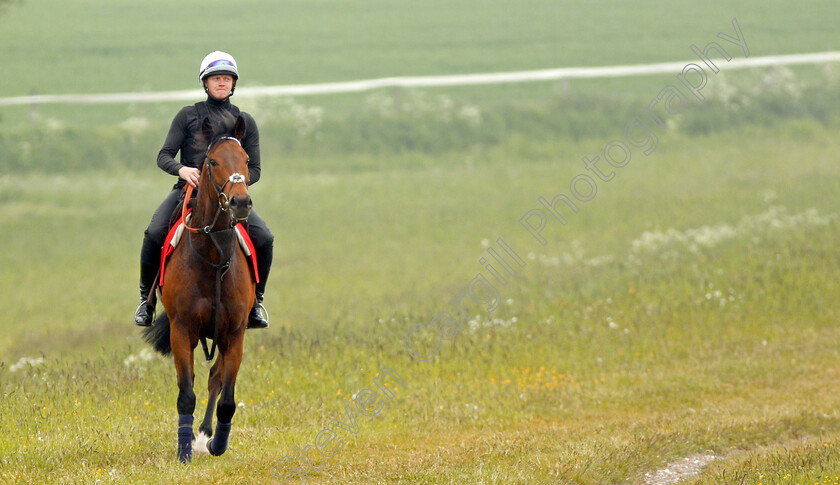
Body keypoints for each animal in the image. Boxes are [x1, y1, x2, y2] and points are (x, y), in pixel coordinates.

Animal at [143, 112, 254, 462]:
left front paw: (216, 443)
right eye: (213, 161)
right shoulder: (182, 330)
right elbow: (185, 394)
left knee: (215, 378)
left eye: (247, 160)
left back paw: (206, 436)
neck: (212, 256)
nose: (240, 202)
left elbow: (226, 397)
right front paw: (183, 451)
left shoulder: (235, 333)